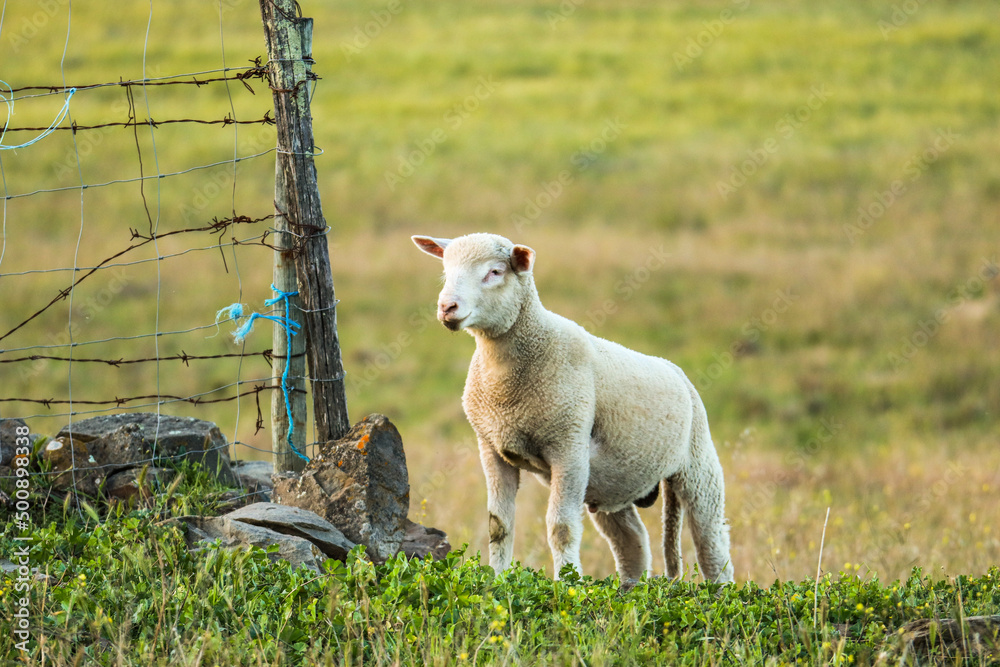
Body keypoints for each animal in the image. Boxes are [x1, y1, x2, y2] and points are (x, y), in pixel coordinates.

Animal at [412, 232, 734, 585]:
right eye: (445, 270)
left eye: (495, 272)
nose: (447, 307)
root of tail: (675, 370)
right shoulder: (492, 449)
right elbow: (499, 527)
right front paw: (497, 579)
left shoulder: (569, 448)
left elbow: (562, 528)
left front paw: (567, 584)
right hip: (610, 483)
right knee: (633, 543)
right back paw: (630, 590)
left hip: (698, 466)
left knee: (711, 545)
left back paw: (722, 590)